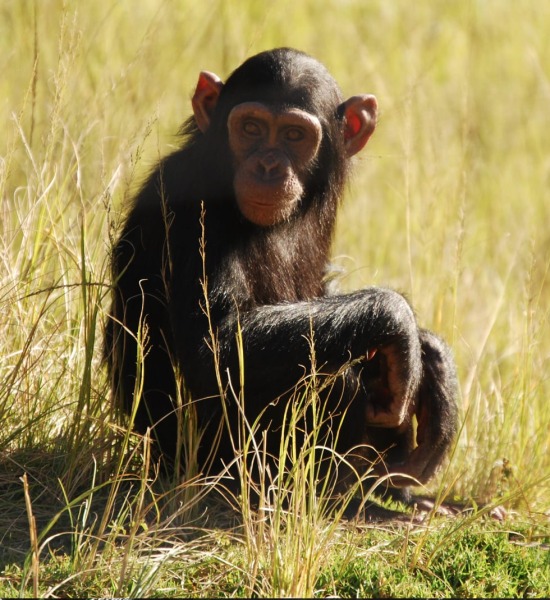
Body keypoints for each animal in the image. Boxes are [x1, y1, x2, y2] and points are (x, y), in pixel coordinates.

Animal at [105, 49, 460, 504]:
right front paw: (399, 320)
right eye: (251, 128)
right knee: (337, 378)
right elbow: (217, 346)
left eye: (294, 135)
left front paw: (434, 360)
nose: (268, 165)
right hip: (209, 460)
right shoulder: (188, 210)